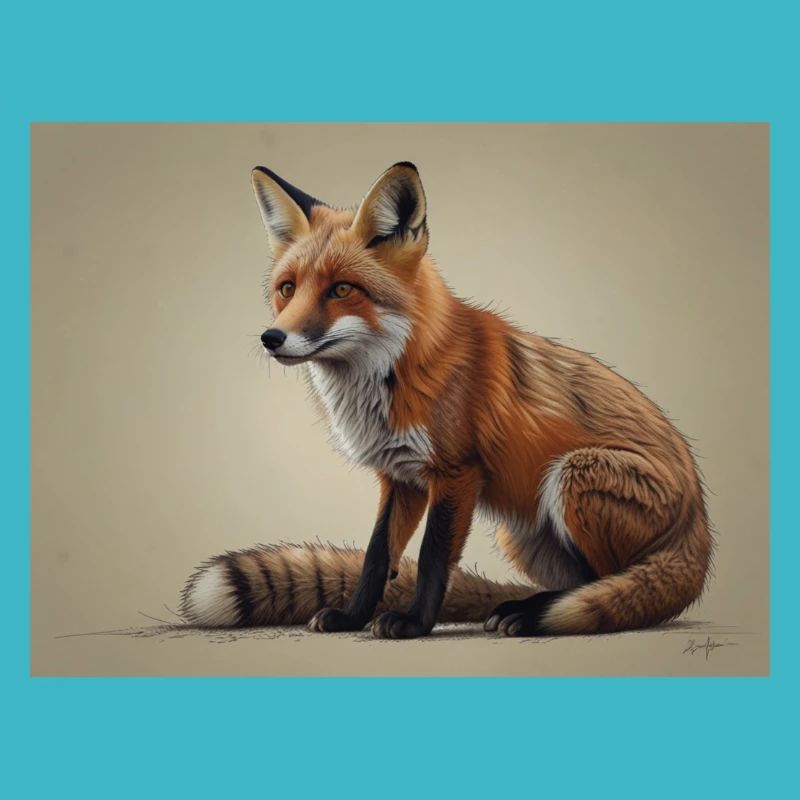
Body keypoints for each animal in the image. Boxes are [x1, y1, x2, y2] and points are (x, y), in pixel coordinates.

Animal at [179, 161, 713, 638]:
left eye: (342, 289)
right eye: (287, 289)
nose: (272, 338)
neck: (397, 374)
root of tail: (699, 528)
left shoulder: (458, 472)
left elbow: (434, 557)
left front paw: (414, 625)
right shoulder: (400, 477)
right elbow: (377, 557)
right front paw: (353, 617)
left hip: (572, 474)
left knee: (611, 587)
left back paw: (530, 615)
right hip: (520, 530)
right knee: (585, 584)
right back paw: (520, 606)